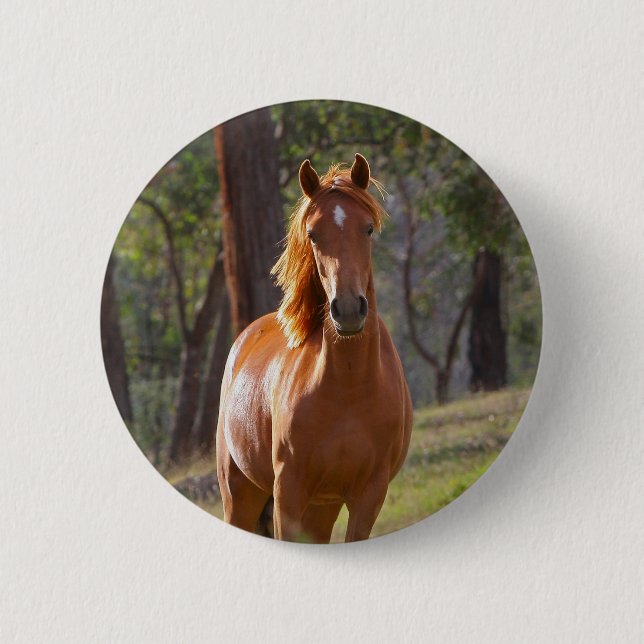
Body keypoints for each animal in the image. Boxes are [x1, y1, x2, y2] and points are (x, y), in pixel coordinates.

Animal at [216, 153, 412, 543]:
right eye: (313, 234)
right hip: (240, 496)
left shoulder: (369, 494)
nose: (348, 309)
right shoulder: (288, 492)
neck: (348, 389)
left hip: (322, 508)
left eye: (368, 229)